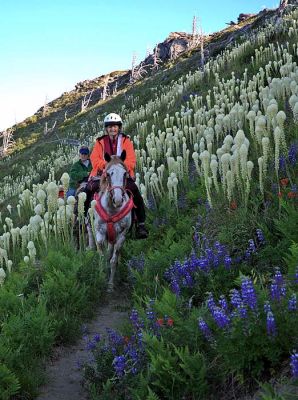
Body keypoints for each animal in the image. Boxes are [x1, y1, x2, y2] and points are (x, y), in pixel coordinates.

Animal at [87, 151, 134, 290]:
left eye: (125, 173)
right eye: (108, 174)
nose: (118, 200)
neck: (112, 210)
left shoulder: (121, 235)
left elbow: (113, 260)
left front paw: (110, 284)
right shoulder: (100, 233)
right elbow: (102, 256)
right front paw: (102, 276)